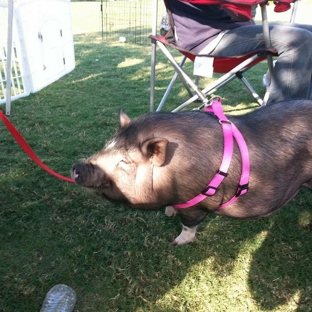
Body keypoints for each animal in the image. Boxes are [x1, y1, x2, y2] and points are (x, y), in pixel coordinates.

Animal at [72, 98, 312, 245]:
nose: (76, 167)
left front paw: (176, 242)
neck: (173, 172)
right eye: (107, 144)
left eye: (125, 161)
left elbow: (188, 224)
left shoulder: (196, 204)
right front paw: (169, 213)